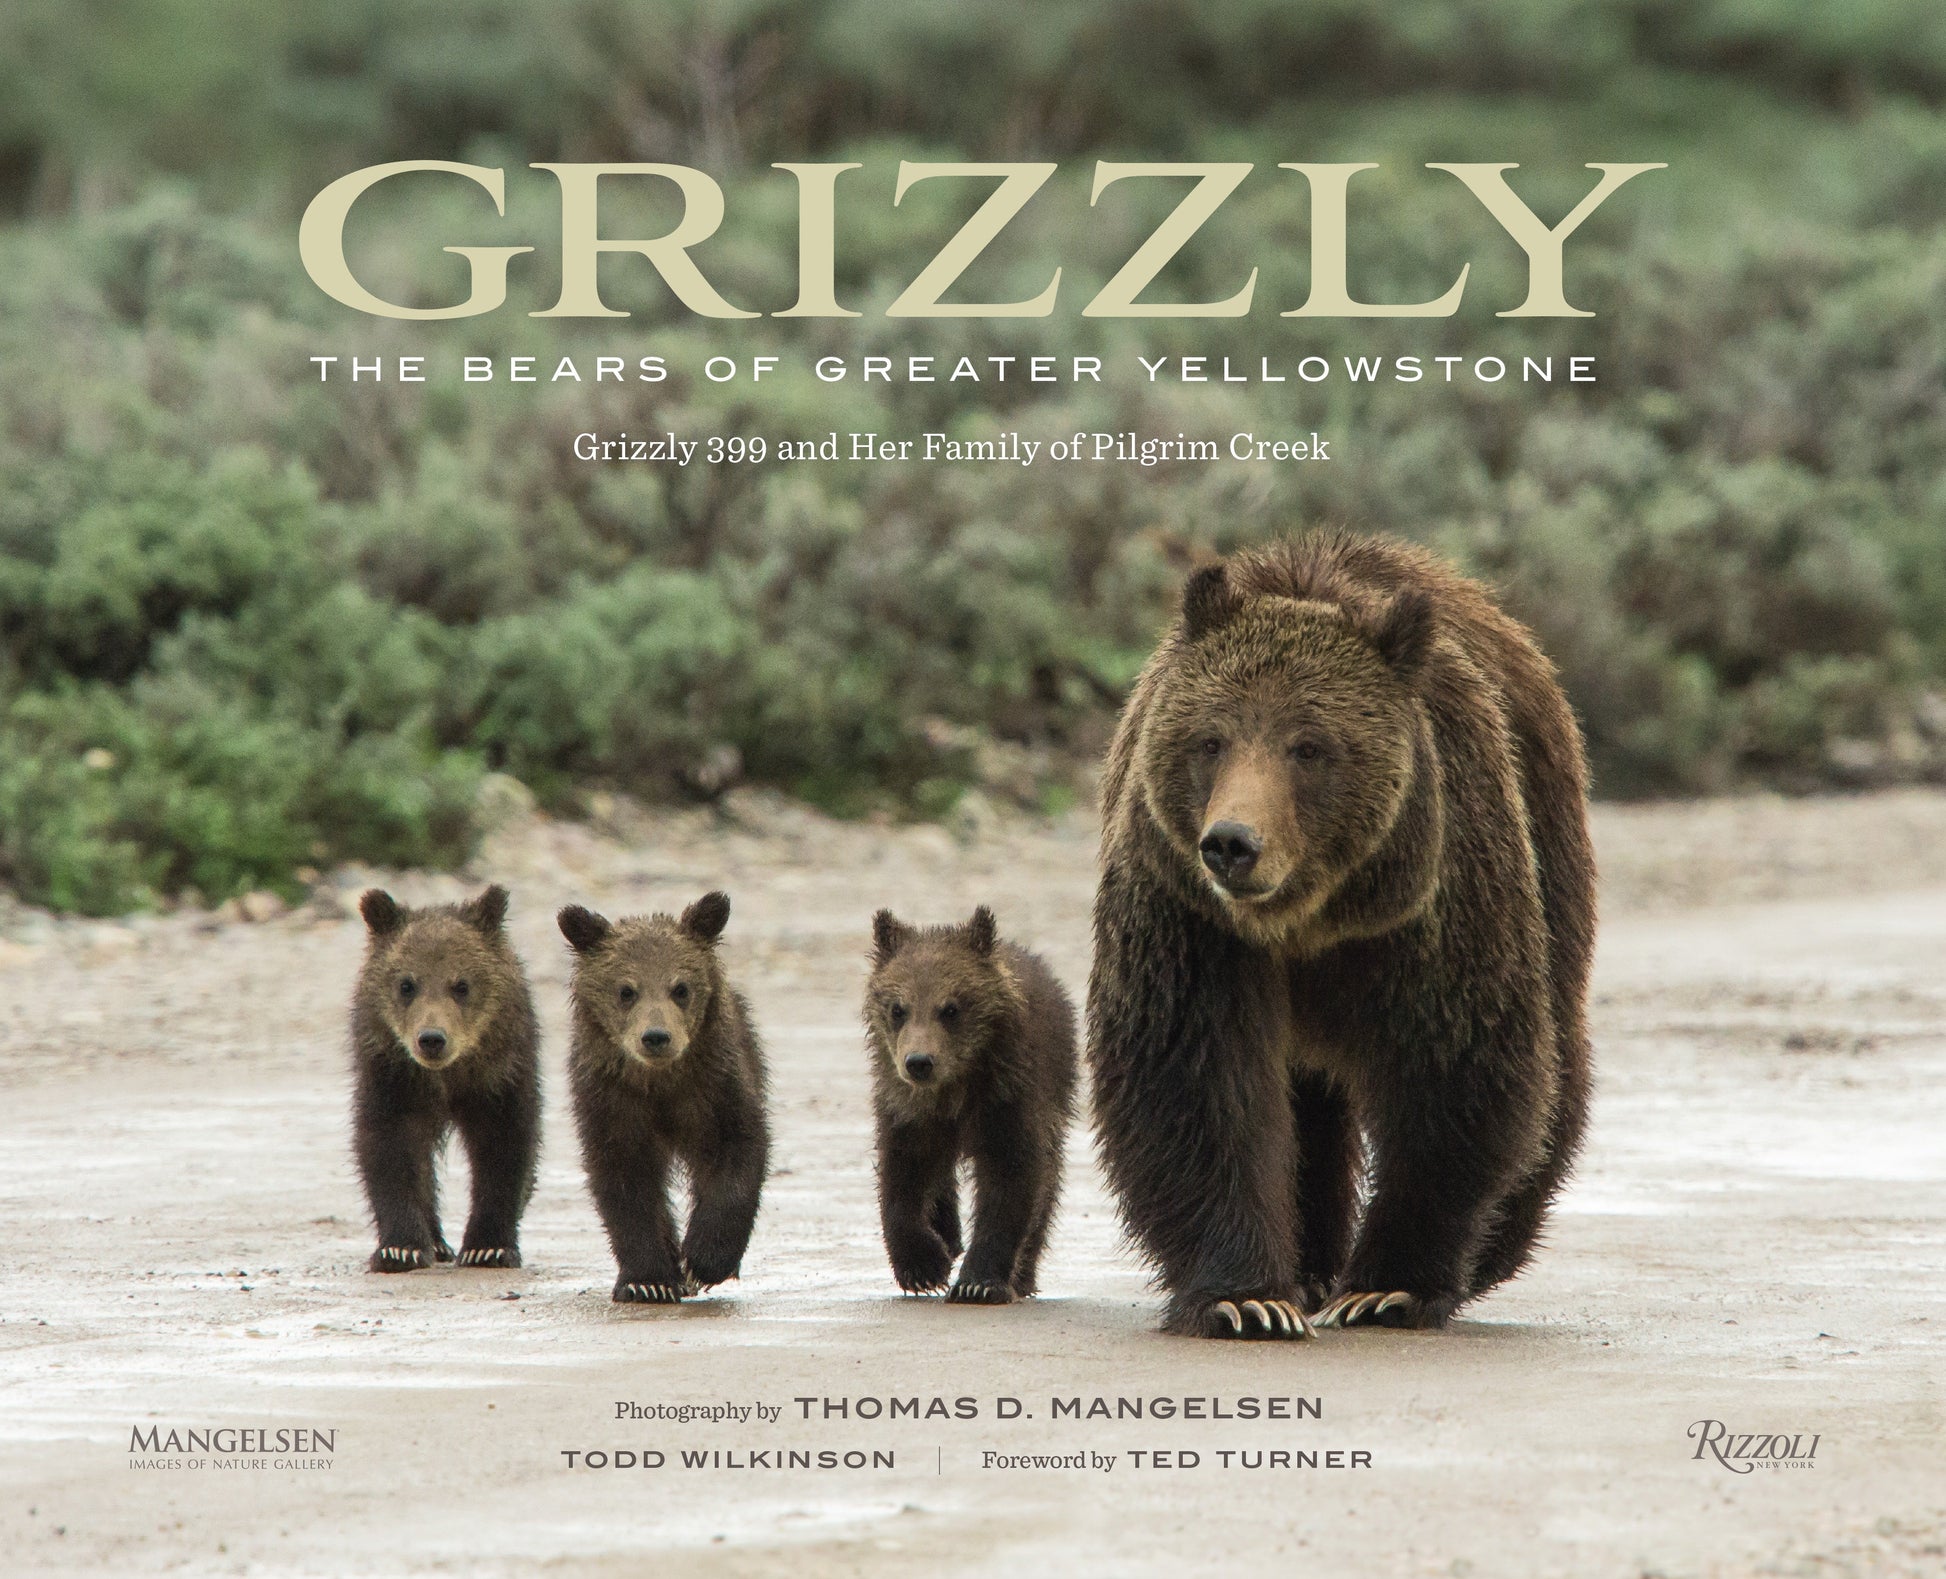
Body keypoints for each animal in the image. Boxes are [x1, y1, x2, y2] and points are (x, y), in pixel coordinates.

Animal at [351, 884, 541, 1273]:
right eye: (407, 984)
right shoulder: (392, 1074)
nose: (432, 1039)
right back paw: (436, 1243)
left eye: (462, 985)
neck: (446, 1077)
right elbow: (389, 1146)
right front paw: (400, 1249)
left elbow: (505, 1146)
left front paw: (488, 1248)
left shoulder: (500, 1074)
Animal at [558, 892, 770, 1304]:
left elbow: (738, 1153)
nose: (656, 1036)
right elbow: (624, 1182)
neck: (658, 1083)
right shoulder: (612, 1101)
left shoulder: (714, 1088)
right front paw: (648, 1280)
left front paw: (703, 1261)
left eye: (681, 988)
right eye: (626, 990)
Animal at [864, 906, 1078, 1304]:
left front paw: (978, 1282)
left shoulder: (1007, 1098)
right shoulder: (906, 1107)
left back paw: (1023, 1275)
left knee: (1049, 1178)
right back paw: (948, 1235)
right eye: (898, 1008)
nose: (919, 1062)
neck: (954, 1088)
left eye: (951, 1008)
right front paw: (923, 1266)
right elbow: (902, 1174)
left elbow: (1010, 1179)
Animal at [1087, 529, 1596, 1339]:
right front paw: (1246, 1298)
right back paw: (1309, 1265)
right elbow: (1194, 1079)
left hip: (1548, 843)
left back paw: (1492, 1248)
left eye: (1310, 746)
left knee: (1555, 1054)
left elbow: (1455, 1067)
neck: (1309, 918)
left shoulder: (1433, 902)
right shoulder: (1189, 916)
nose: (1231, 843)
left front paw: (1388, 1286)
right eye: (1210, 739)